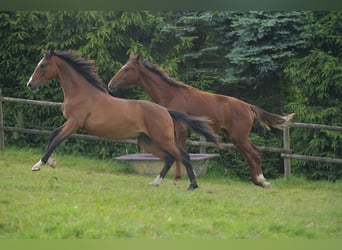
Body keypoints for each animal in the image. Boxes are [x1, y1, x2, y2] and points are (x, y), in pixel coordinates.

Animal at [26, 49, 219, 190]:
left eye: (43, 65)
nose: (30, 84)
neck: (81, 94)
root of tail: (165, 110)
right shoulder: (70, 123)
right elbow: (52, 135)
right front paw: (52, 163)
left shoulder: (74, 124)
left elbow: (56, 140)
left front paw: (38, 165)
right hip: (146, 141)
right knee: (169, 158)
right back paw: (155, 182)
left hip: (163, 139)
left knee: (183, 156)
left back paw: (192, 185)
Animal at [107, 51, 294, 188]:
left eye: (128, 69)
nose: (111, 85)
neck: (171, 94)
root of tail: (248, 106)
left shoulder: (181, 128)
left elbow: (181, 151)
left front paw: (177, 178)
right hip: (237, 138)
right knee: (251, 155)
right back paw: (257, 181)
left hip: (239, 137)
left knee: (254, 153)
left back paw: (262, 181)